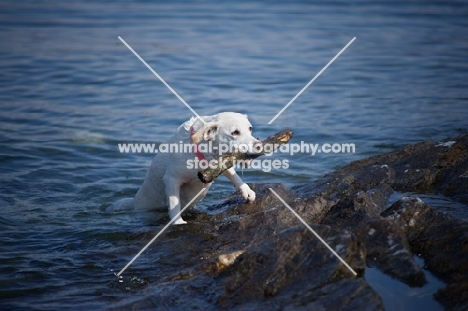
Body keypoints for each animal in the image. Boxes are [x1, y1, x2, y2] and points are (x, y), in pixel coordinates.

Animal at [111, 113, 262, 225]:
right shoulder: (171, 179)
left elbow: (234, 175)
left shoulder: (220, 162)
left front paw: (246, 190)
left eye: (250, 128)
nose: (259, 145)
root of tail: (134, 202)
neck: (200, 149)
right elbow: (174, 202)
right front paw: (178, 222)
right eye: (235, 132)